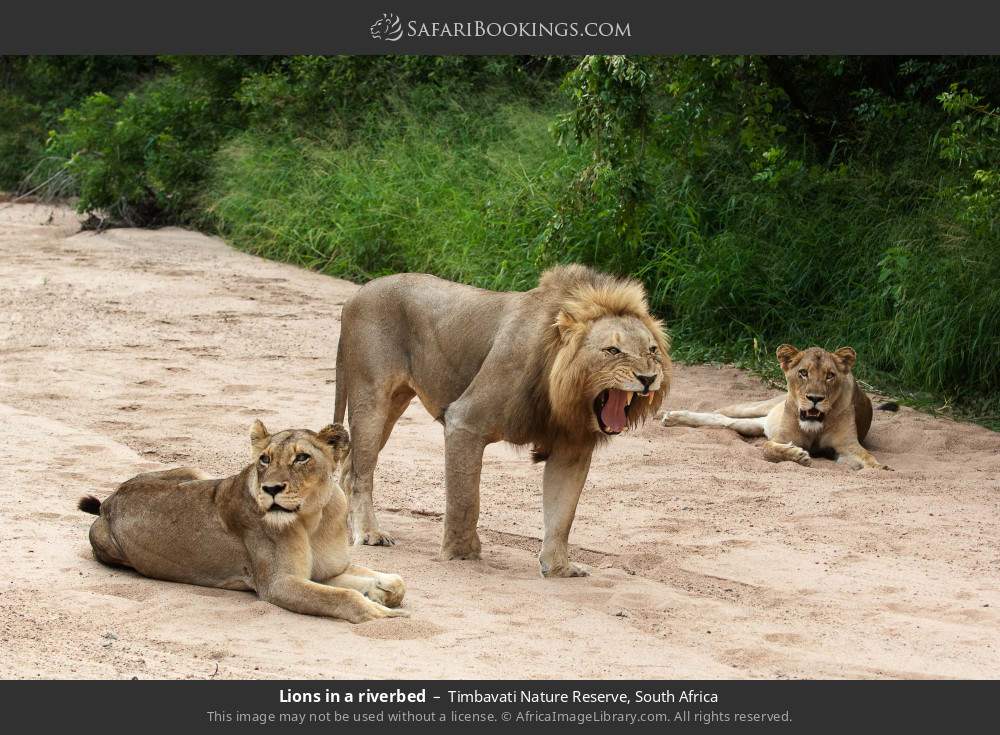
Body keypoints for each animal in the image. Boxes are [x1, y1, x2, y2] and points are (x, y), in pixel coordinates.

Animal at [78, 421, 408, 623]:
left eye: (301, 457)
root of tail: (109, 500)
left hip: (195, 471)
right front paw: (379, 612)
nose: (271, 489)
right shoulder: (277, 584)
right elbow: (343, 596)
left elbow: (396, 582)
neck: (314, 517)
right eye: (264, 459)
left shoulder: (328, 571)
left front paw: (380, 593)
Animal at [334, 264, 671, 577]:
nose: (648, 378)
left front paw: (559, 568)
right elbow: (466, 500)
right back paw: (370, 533)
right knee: (360, 473)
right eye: (613, 350)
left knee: (349, 469)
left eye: (652, 350)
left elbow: (562, 514)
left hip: (394, 405)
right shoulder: (464, 421)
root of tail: (356, 295)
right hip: (371, 398)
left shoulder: (571, 449)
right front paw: (461, 554)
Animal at [662, 344, 894, 470]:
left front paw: (879, 467)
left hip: (750, 424)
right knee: (719, 412)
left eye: (830, 375)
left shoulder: (846, 447)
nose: (815, 398)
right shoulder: (780, 438)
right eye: (803, 373)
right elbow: (768, 449)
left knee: (725, 422)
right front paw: (797, 455)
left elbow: (866, 457)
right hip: (755, 407)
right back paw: (668, 415)